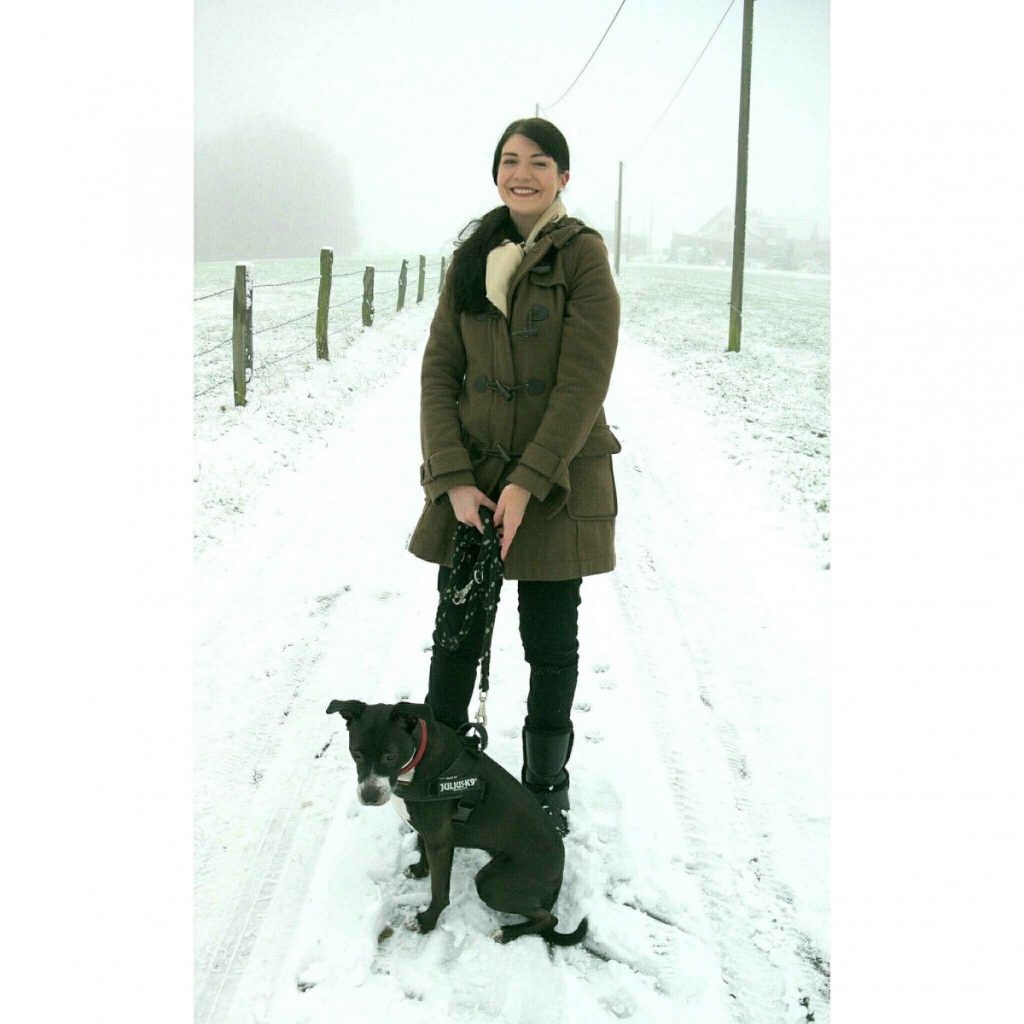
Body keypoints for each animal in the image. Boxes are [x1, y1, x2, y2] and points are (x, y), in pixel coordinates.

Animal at [323, 696, 589, 942]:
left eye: (391, 756)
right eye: (356, 753)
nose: (370, 795)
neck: (417, 761)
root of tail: (560, 870)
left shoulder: (440, 841)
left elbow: (440, 891)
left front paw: (426, 921)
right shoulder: (429, 833)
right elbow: (422, 848)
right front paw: (420, 870)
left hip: (493, 883)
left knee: (548, 919)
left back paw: (506, 933)